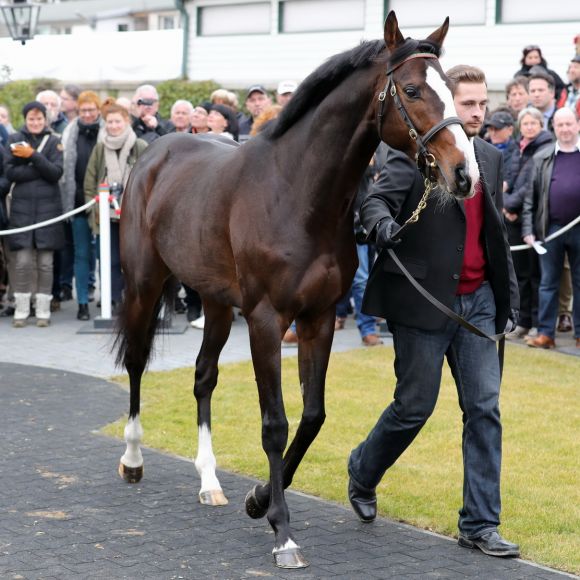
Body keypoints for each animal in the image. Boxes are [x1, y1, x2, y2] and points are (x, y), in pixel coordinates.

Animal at [115, 11, 478, 568]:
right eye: (414, 90)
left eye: (453, 91)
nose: (464, 174)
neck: (296, 193)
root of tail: (158, 149)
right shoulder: (266, 321)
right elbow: (275, 423)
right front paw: (282, 531)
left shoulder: (319, 318)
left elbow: (312, 417)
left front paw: (258, 499)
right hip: (144, 282)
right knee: (136, 362)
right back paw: (133, 457)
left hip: (216, 302)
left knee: (203, 378)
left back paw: (209, 481)